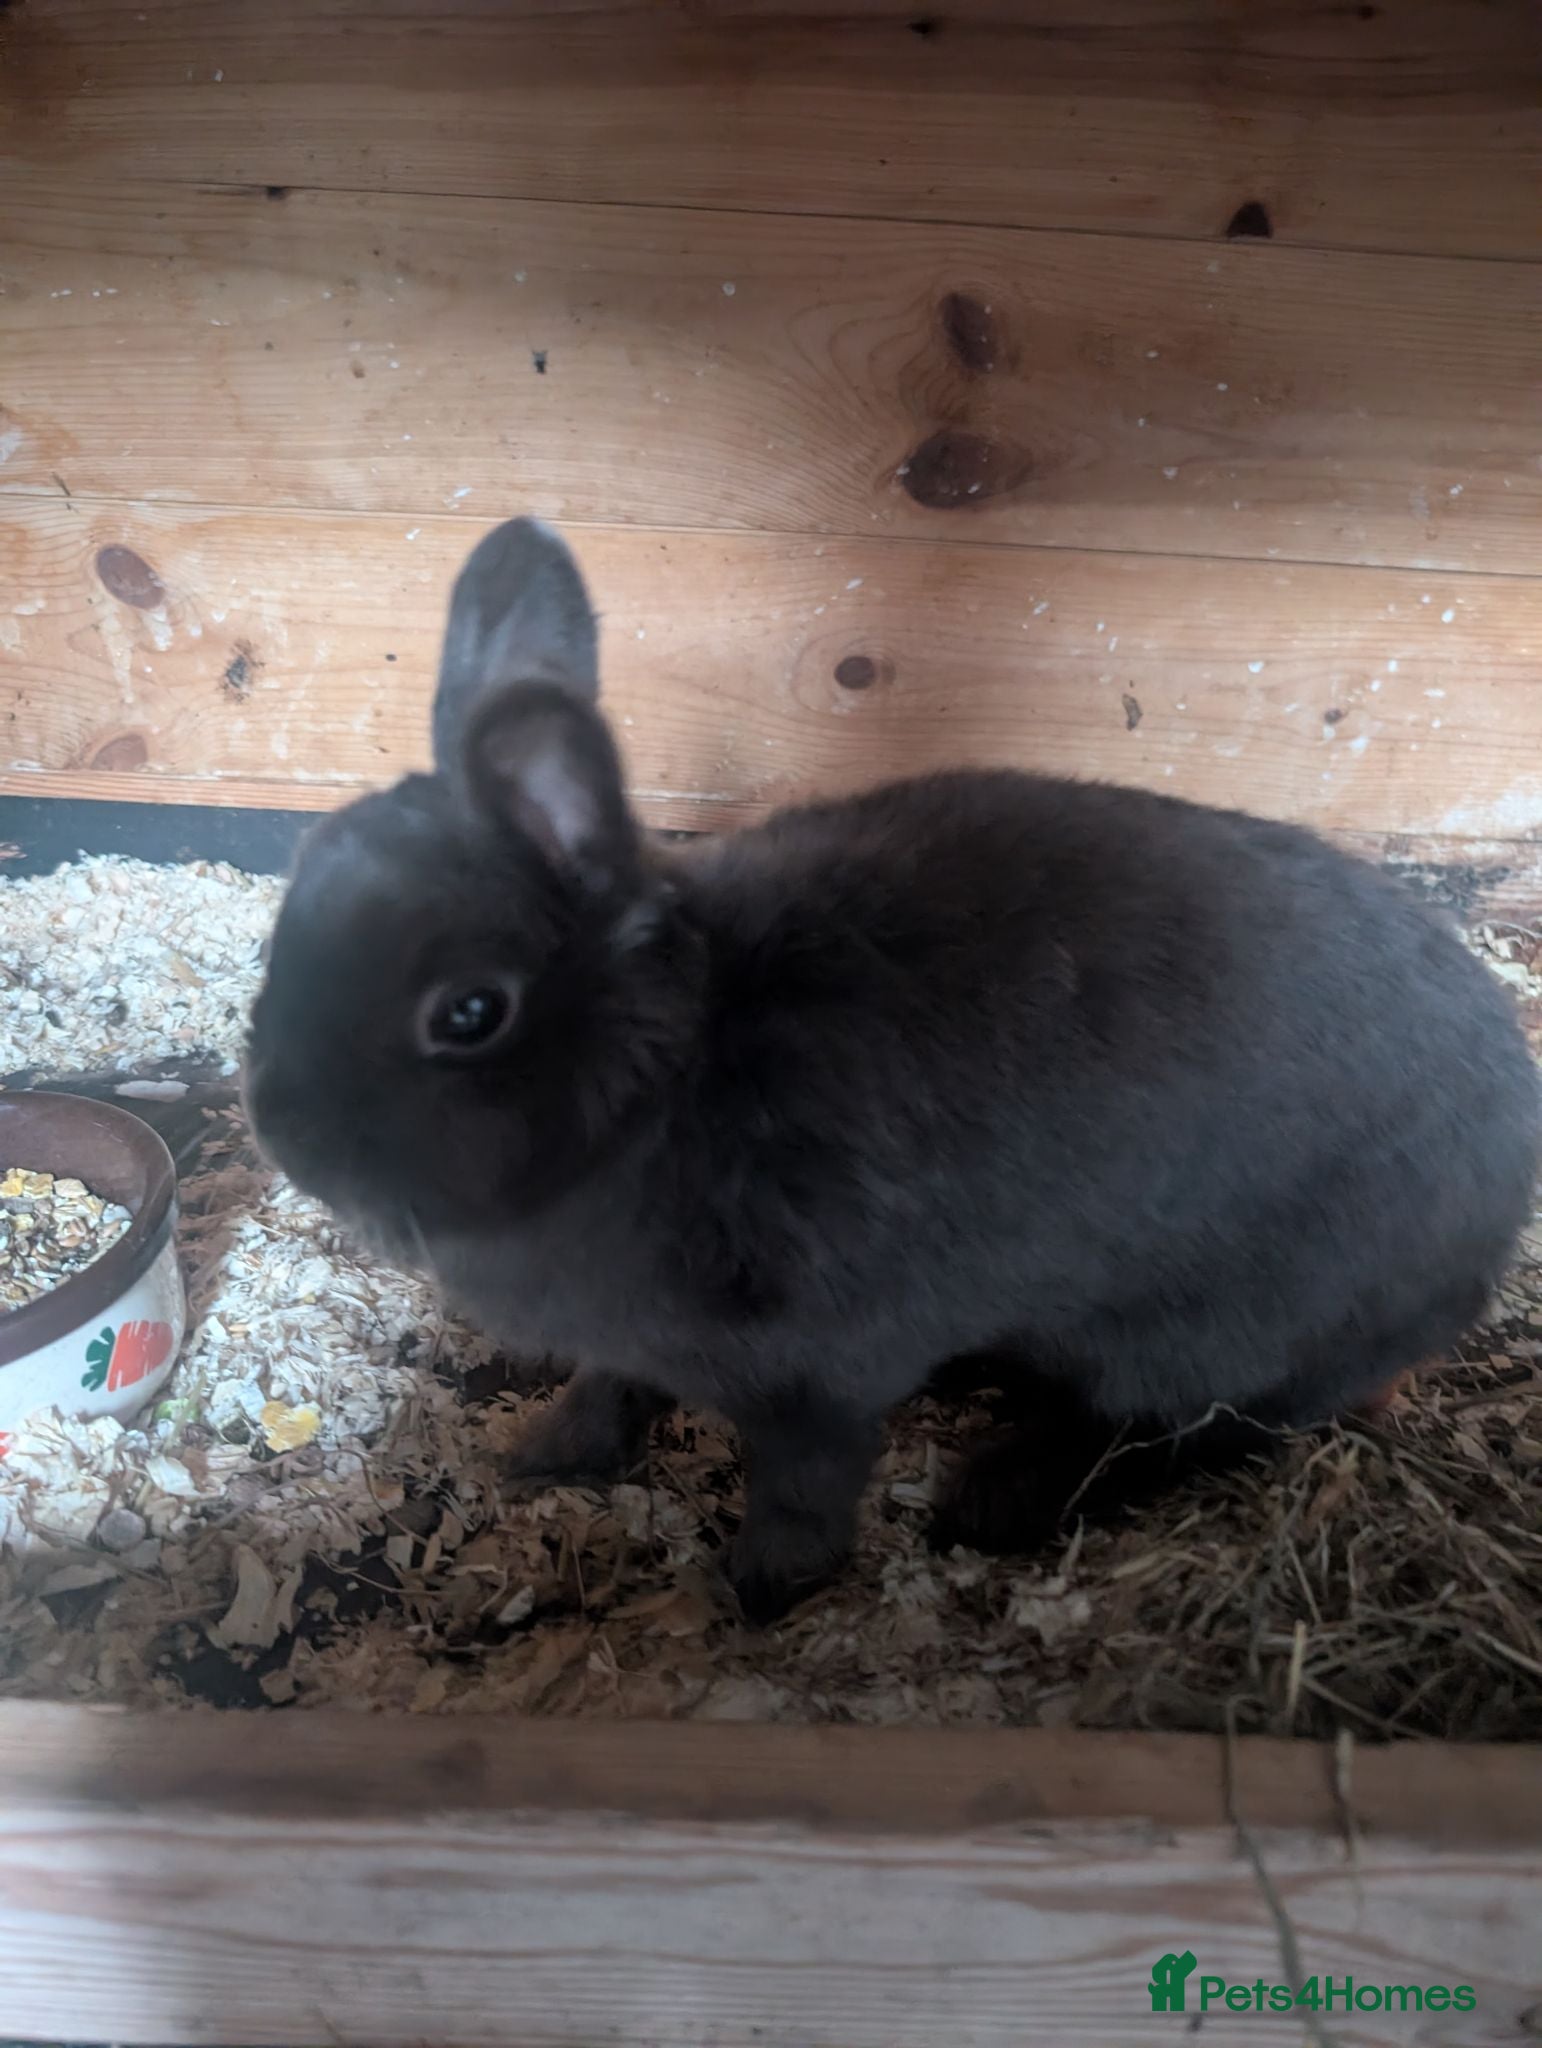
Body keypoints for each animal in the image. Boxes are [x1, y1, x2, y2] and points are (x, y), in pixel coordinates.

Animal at [245, 517, 1539, 1623]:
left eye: (469, 1012)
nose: (279, 1129)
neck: (666, 1082)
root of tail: (1496, 1212)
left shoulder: (821, 1375)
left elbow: (805, 1483)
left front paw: (759, 1590)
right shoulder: (636, 1346)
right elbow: (611, 1388)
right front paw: (543, 1455)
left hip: (1216, 1332)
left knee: (1198, 1427)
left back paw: (994, 1494)